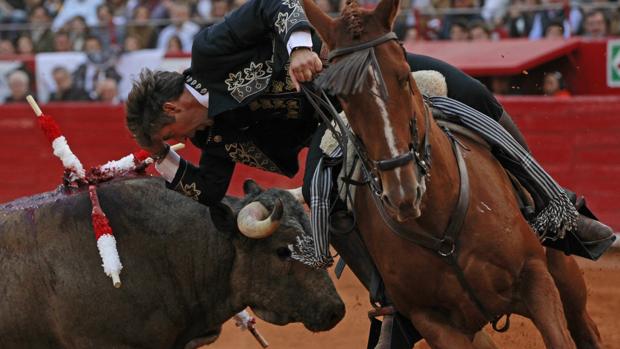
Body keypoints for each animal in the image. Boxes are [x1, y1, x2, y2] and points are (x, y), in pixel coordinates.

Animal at [302, 0, 604, 346]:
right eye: (343, 97)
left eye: (402, 77)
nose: (402, 189)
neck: (440, 227)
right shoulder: (434, 322)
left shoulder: (535, 277)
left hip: (561, 269)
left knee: (584, 328)